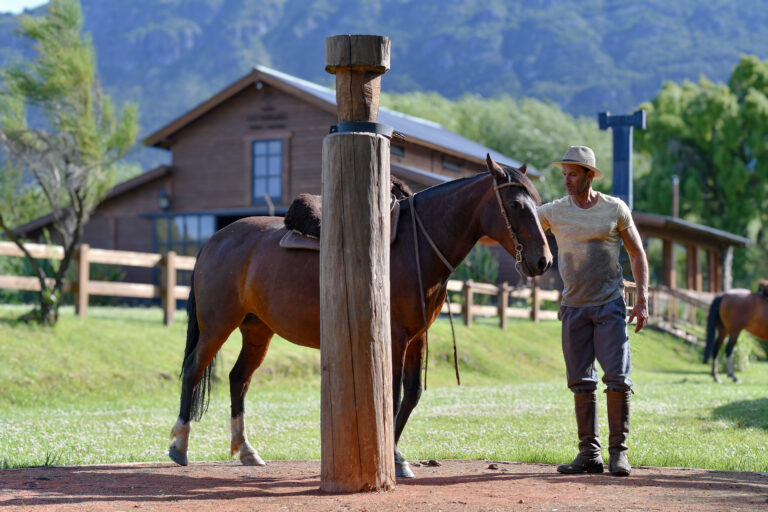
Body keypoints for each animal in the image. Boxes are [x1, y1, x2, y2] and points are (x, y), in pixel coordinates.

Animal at [168, 154, 552, 478]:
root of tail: (216, 239)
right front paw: (393, 458)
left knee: (238, 379)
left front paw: (395, 456)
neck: (414, 246)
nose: (543, 261)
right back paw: (179, 445)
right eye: (516, 204)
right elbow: (393, 394)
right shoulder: (395, 336)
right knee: (193, 369)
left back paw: (246, 450)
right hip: (217, 324)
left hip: (257, 330)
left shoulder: (418, 336)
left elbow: (412, 394)